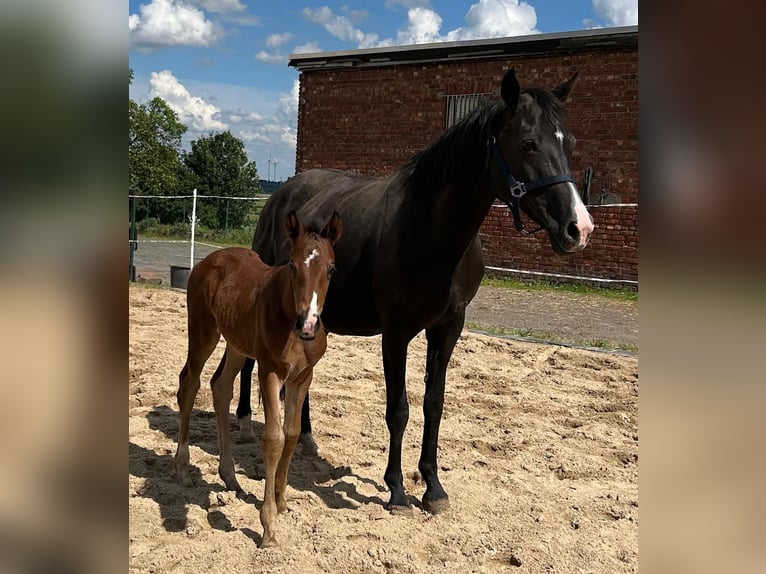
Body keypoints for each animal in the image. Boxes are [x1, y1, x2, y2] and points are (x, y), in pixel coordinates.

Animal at [176, 210, 344, 548]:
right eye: (292, 264)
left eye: (331, 268)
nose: (308, 324)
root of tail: (210, 259)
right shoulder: (270, 371)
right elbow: (274, 439)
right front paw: (268, 526)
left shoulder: (302, 377)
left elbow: (292, 433)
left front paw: (281, 501)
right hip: (203, 333)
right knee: (189, 383)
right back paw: (183, 468)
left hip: (237, 344)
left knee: (220, 386)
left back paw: (230, 476)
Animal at [238, 70, 592, 516]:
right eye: (529, 143)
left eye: (570, 143)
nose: (579, 228)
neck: (433, 230)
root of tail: (281, 196)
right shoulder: (397, 332)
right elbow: (399, 409)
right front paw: (397, 490)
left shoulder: (447, 329)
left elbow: (433, 405)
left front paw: (433, 487)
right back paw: (244, 423)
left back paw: (304, 437)